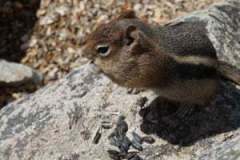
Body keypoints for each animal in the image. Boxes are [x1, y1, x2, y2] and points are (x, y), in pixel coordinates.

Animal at [82, 10, 240, 105]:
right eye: (98, 28)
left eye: (103, 49)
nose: (83, 52)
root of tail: (217, 64)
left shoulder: (146, 70)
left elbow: (126, 79)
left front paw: (98, 68)